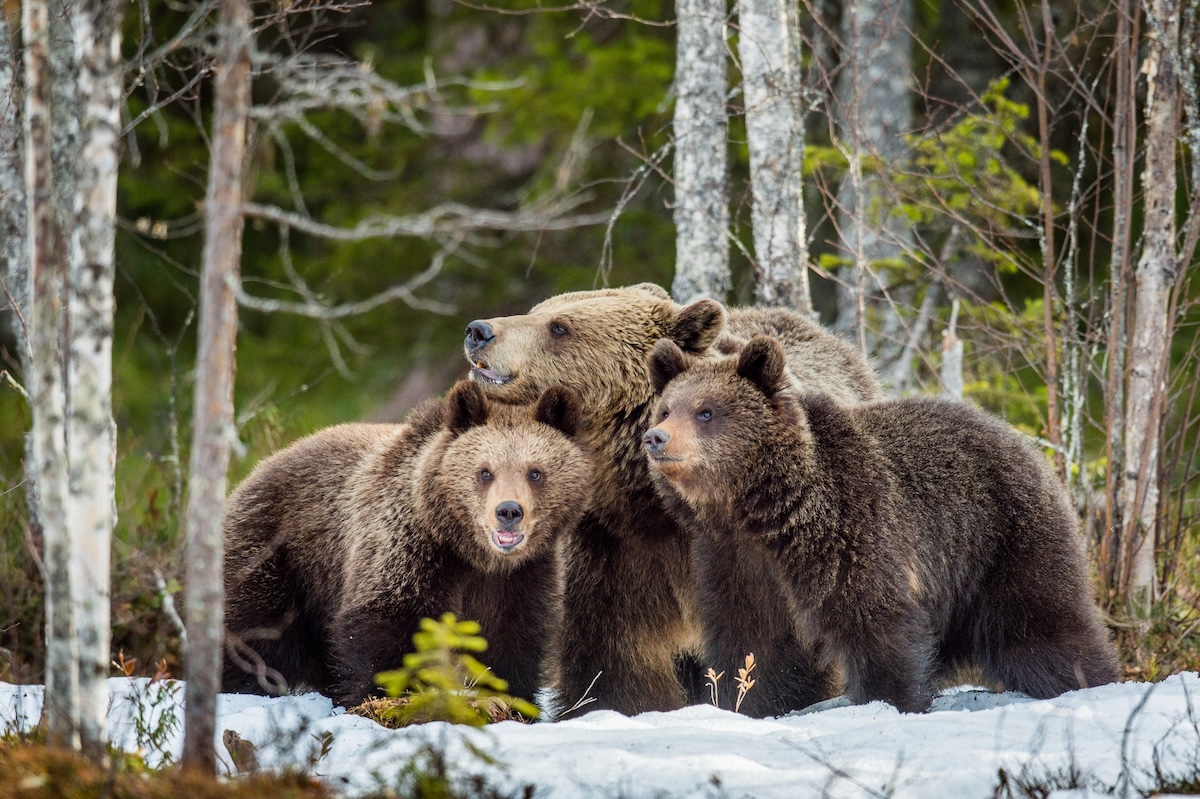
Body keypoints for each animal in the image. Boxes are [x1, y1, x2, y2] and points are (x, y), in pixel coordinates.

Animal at [221, 380, 591, 709]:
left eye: (535, 472)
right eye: (485, 472)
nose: (509, 512)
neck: (470, 552)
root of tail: (255, 471)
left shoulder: (522, 575)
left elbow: (513, 636)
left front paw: (511, 698)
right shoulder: (409, 547)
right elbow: (388, 624)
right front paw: (387, 694)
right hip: (277, 556)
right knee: (252, 633)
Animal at [461, 283, 881, 716]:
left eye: (559, 327)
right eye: (538, 310)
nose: (479, 330)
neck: (650, 503)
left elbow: (772, 643)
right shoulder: (616, 550)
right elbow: (616, 655)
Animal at [643, 334, 1120, 713]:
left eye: (706, 412)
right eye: (666, 409)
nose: (656, 438)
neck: (763, 513)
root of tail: (1022, 441)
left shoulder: (850, 532)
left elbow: (875, 623)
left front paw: (889, 700)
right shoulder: (733, 561)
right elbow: (751, 642)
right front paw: (744, 703)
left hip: (1002, 540)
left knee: (1041, 625)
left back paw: (1087, 681)